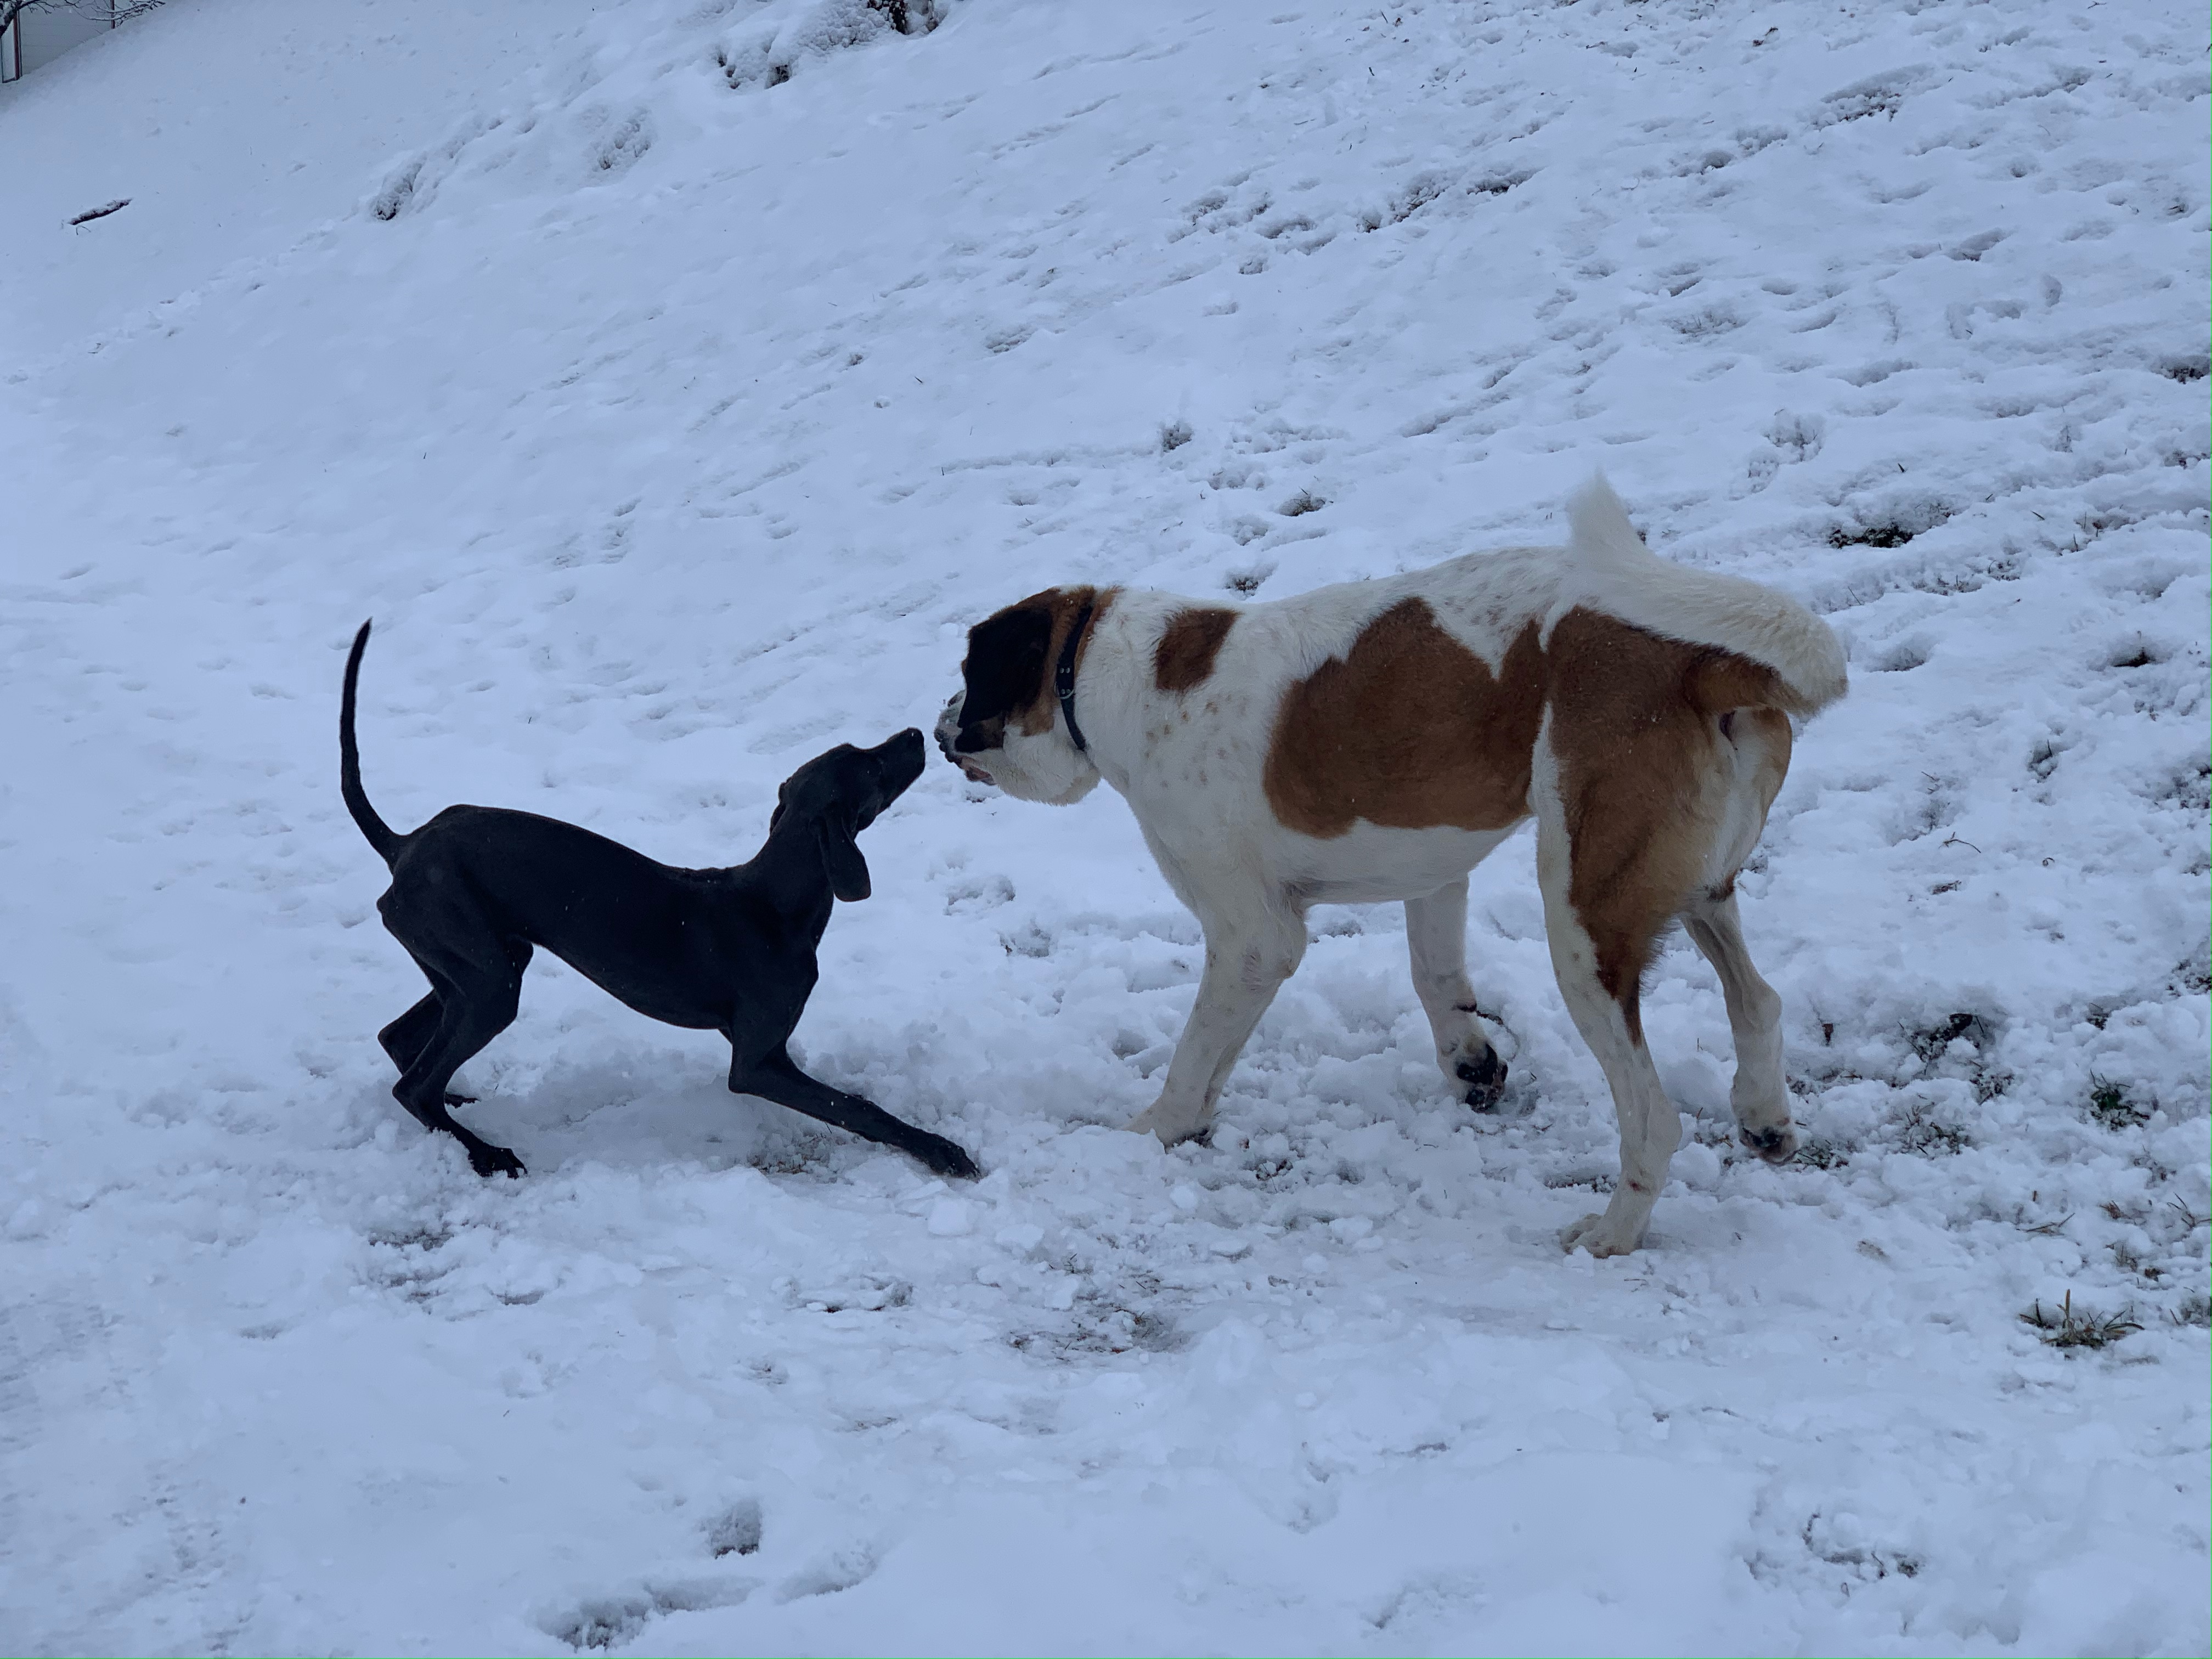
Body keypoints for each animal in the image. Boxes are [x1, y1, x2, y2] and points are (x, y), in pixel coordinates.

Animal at [336, 619, 978, 1186]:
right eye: (870, 765)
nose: (916, 733)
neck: (775, 903)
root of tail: (404, 844)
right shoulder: (757, 1064)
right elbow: (857, 1106)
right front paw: (941, 1151)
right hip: (489, 980)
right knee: (413, 1086)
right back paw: (486, 1154)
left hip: (480, 964)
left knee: (401, 1043)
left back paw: (456, 1103)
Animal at [938, 479, 1849, 1256]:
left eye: (968, 674)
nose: (940, 723)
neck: (1111, 674)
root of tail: (1697, 662)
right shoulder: (1432, 867)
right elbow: (1434, 976)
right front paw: (1472, 1064)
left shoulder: (1251, 939)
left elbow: (1197, 1054)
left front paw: (1153, 1132)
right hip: (1694, 890)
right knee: (1758, 1002)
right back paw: (1764, 1119)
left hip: (1585, 920)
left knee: (1655, 1117)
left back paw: (1612, 1233)